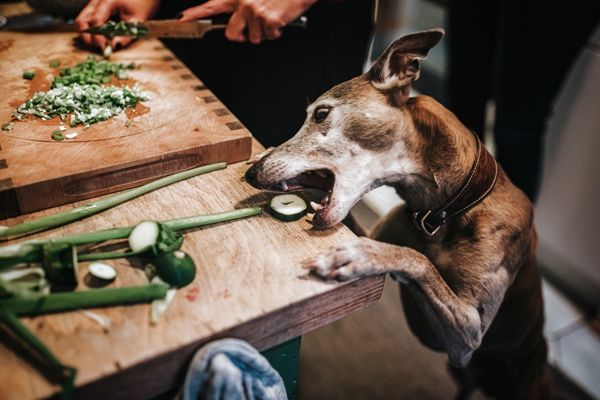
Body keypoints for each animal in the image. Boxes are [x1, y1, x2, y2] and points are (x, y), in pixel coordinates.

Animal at [243, 29, 548, 398]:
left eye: (320, 113)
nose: (252, 174)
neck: (442, 212)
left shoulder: (470, 333)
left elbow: (416, 259)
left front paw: (359, 257)